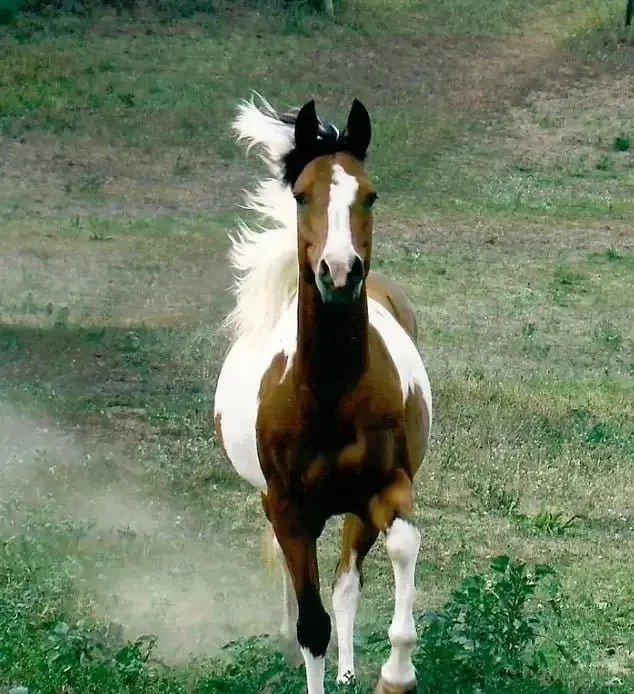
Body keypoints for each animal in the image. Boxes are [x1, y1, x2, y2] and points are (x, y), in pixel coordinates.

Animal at [214, 93, 432, 694]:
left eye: (369, 194)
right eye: (302, 194)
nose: (339, 272)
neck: (329, 394)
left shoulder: (386, 488)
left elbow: (401, 547)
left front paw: (395, 674)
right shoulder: (288, 509)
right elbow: (312, 623)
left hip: (354, 509)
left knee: (345, 582)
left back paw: (351, 669)